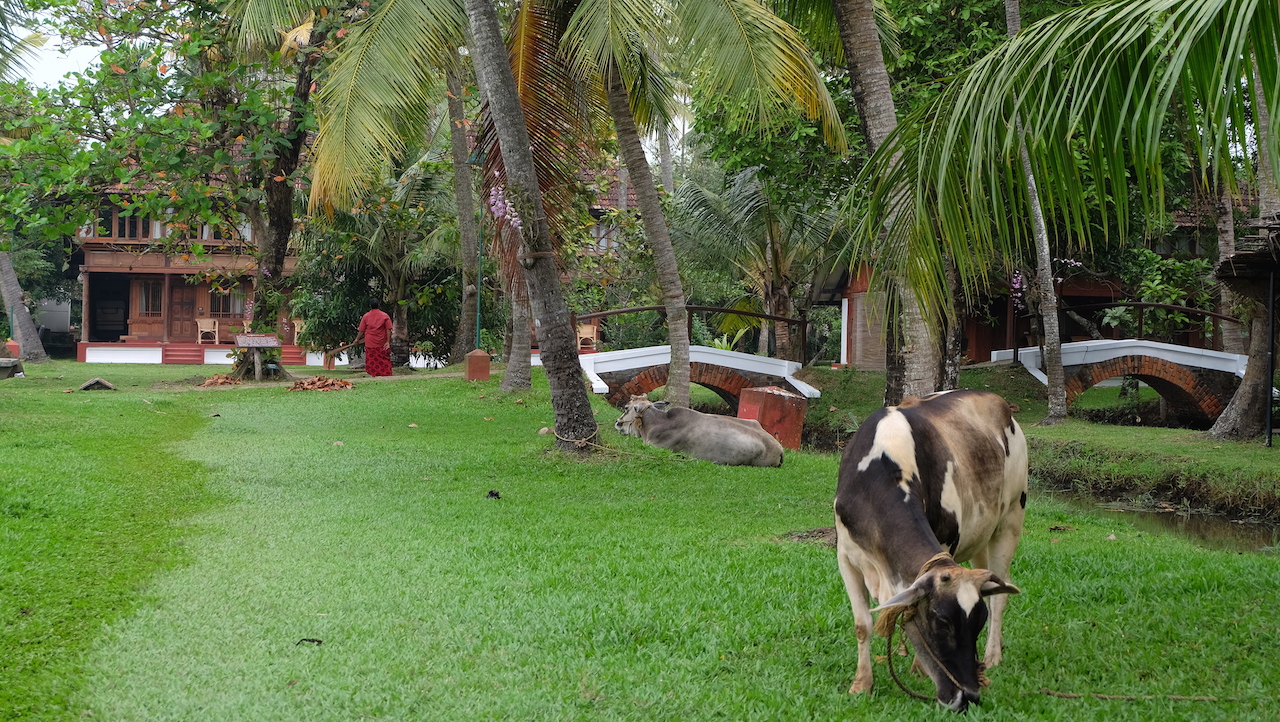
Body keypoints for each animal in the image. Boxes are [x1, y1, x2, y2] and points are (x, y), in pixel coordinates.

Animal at [829, 389, 1029, 711]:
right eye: (941, 621)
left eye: (977, 623)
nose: (969, 695)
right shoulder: (846, 557)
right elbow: (862, 624)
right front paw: (861, 685)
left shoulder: (945, 542)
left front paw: (918, 671)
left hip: (1010, 518)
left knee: (1000, 597)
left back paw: (992, 655)